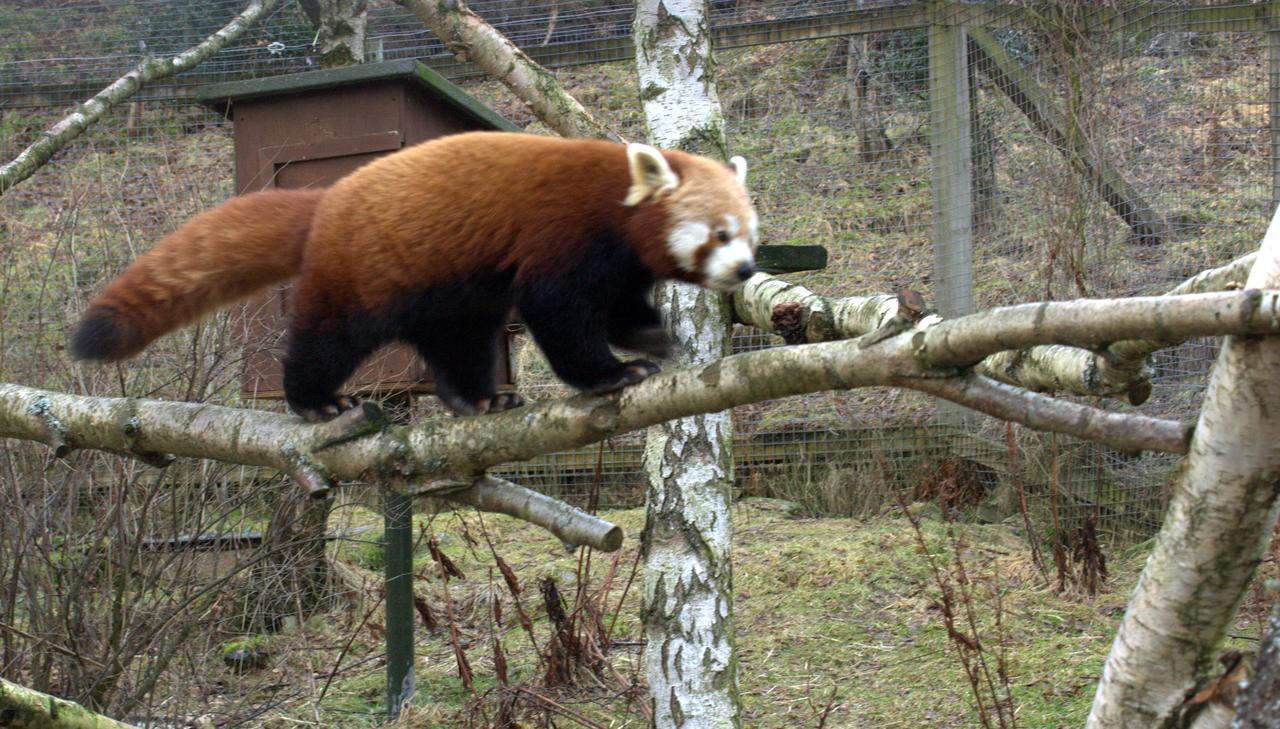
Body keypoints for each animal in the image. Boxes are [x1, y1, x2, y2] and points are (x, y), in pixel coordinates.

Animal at [72, 127, 757, 416]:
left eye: (750, 234)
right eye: (720, 234)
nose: (747, 268)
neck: (617, 205)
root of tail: (328, 200)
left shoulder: (620, 261)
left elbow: (619, 304)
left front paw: (648, 335)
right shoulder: (563, 234)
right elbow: (559, 314)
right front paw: (611, 373)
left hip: (444, 285)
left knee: (459, 339)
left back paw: (477, 396)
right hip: (363, 272)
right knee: (329, 337)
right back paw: (315, 400)